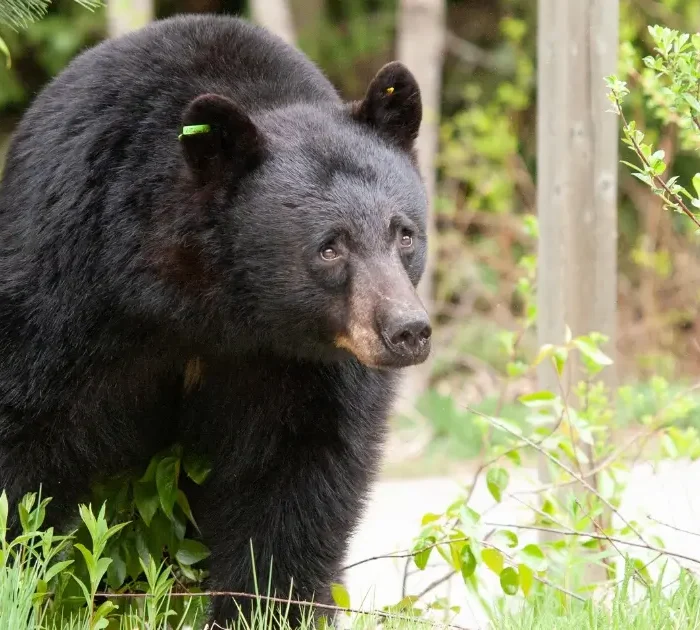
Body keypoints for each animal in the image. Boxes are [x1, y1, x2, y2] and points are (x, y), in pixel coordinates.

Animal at [0, 12, 432, 628]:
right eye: (329, 247)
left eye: (405, 234)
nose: (407, 330)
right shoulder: (66, 295)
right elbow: (26, 439)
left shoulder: (304, 369)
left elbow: (295, 479)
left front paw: (270, 605)